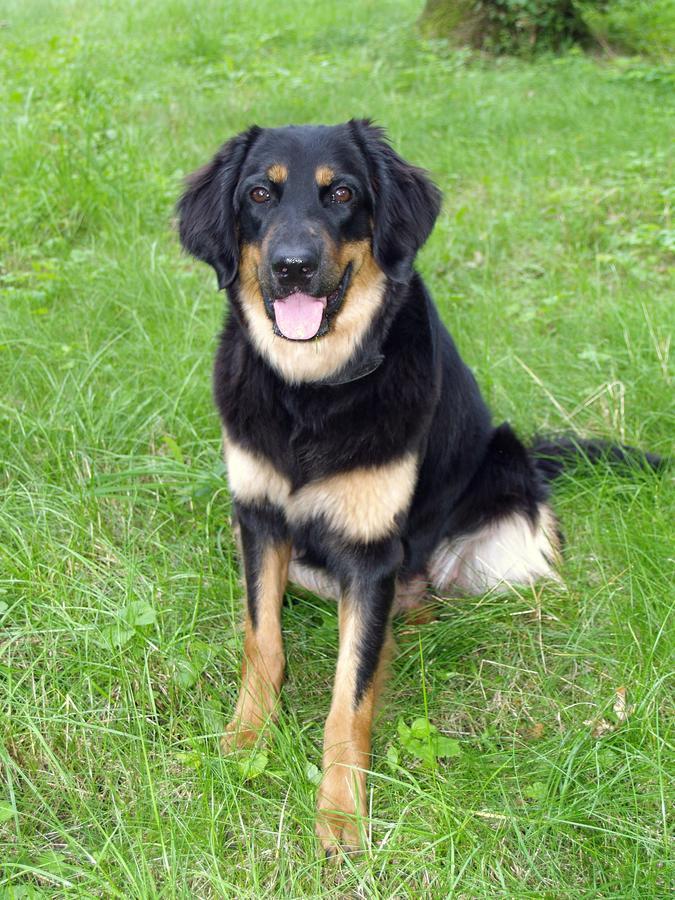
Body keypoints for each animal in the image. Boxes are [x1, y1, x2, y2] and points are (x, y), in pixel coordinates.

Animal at [177, 121, 664, 856]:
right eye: (259, 193)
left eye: (342, 193)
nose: (292, 265)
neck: (312, 390)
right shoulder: (258, 519)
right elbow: (262, 644)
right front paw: (245, 740)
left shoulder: (371, 552)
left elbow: (348, 699)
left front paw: (341, 812)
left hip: (502, 516)